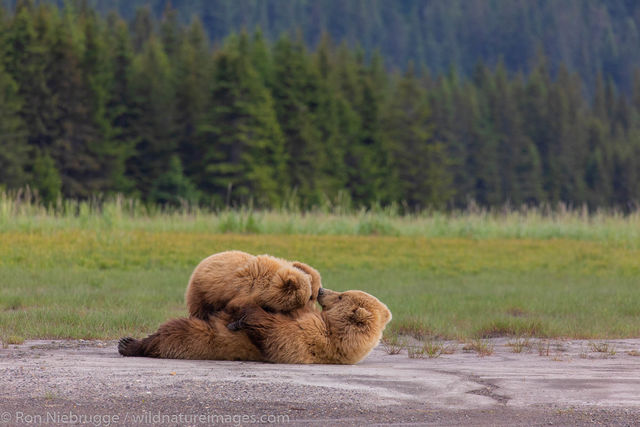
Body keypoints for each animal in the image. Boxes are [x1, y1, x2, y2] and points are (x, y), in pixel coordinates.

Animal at [117, 288, 392, 364]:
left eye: (342, 296)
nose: (323, 290)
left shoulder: (309, 340)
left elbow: (274, 332)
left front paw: (245, 315)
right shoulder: (308, 318)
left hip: (199, 338)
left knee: (172, 332)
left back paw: (129, 344)